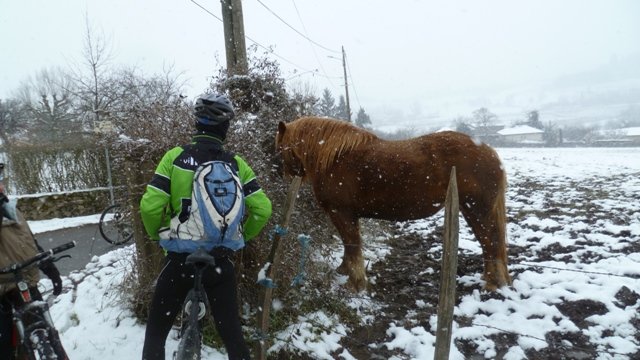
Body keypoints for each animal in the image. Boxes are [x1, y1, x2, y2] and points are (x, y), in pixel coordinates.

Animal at [276, 118, 510, 292]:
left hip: (477, 210)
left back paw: (491, 284)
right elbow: (348, 246)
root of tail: (489, 151)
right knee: (490, 243)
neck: (334, 157)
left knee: (490, 242)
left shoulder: (341, 213)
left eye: (281, 148)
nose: (283, 175)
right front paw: (343, 271)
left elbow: (352, 245)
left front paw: (355, 284)